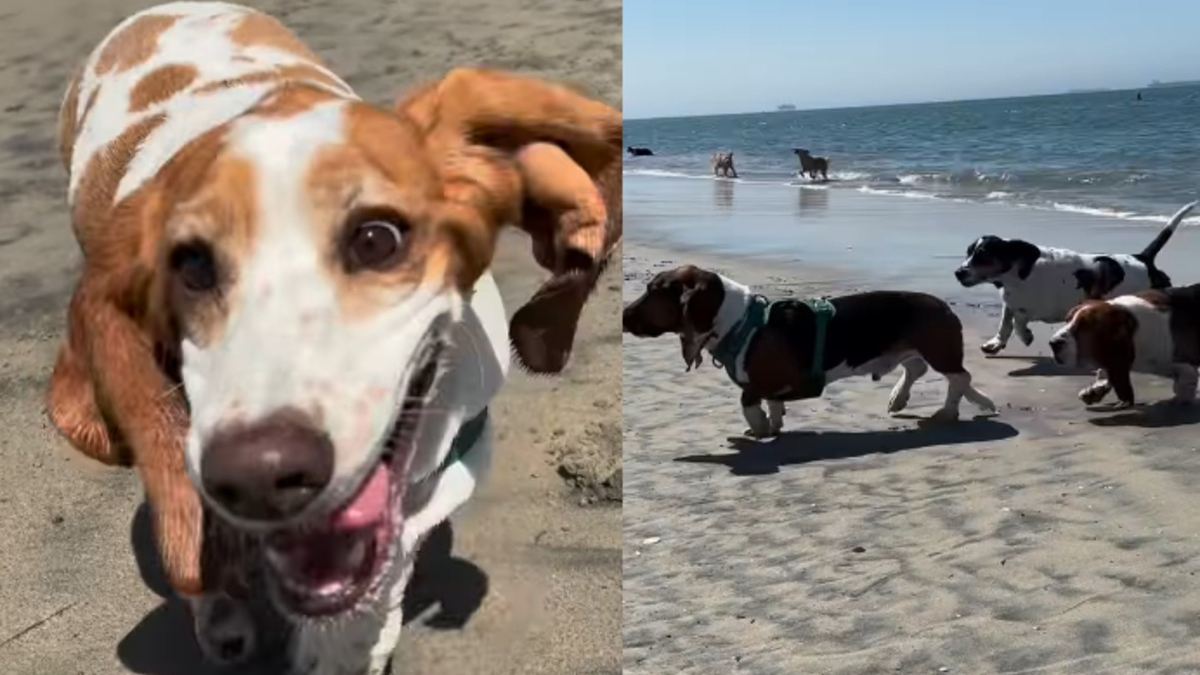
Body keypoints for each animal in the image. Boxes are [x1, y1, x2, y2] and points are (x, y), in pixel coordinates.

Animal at [619, 264, 993, 437]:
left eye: (653, 291)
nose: (622, 316)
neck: (738, 320)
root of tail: (944, 305)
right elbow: (772, 402)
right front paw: (773, 423)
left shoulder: (768, 380)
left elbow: (749, 400)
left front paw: (760, 428)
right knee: (919, 370)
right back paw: (900, 398)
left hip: (938, 350)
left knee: (959, 378)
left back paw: (946, 412)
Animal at [950, 199, 1195, 355]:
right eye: (968, 252)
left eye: (983, 256)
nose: (958, 272)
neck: (1019, 272)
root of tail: (1142, 258)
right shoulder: (1010, 303)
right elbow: (1005, 323)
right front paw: (996, 343)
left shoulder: (1037, 308)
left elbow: (1018, 322)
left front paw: (1026, 336)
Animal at [1046, 282, 1200, 408]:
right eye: (1067, 320)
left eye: (1084, 326)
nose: (1053, 343)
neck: (1132, 324)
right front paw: (1096, 389)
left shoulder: (1184, 366)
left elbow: (1185, 381)